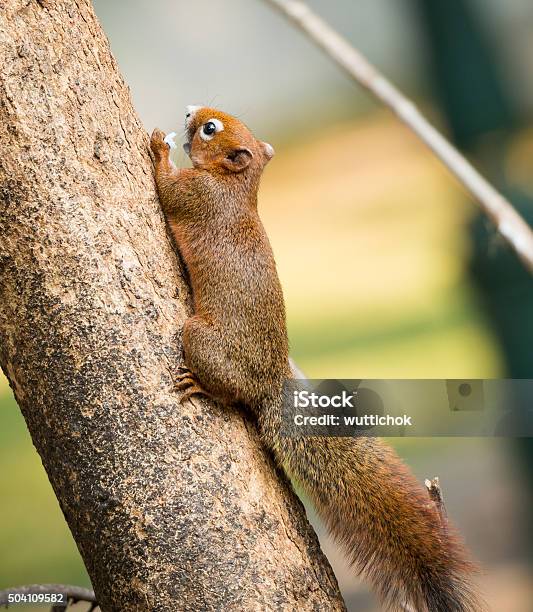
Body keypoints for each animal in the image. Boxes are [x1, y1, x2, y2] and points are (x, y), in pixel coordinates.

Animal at [149, 109, 482, 612]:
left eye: (211, 129)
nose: (190, 113)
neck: (237, 185)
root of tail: (267, 384)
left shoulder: (197, 196)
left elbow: (167, 189)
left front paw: (157, 147)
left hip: (199, 338)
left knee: (224, 389)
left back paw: (201, 385)